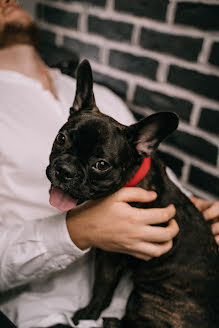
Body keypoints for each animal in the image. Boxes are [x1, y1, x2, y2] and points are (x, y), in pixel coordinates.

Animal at [46, 59, 219, 328]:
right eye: (61, 138)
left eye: (101, 165)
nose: (65, 170)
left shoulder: (113, 254)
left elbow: (102, 286)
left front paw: (88, 313)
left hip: (149, 301)